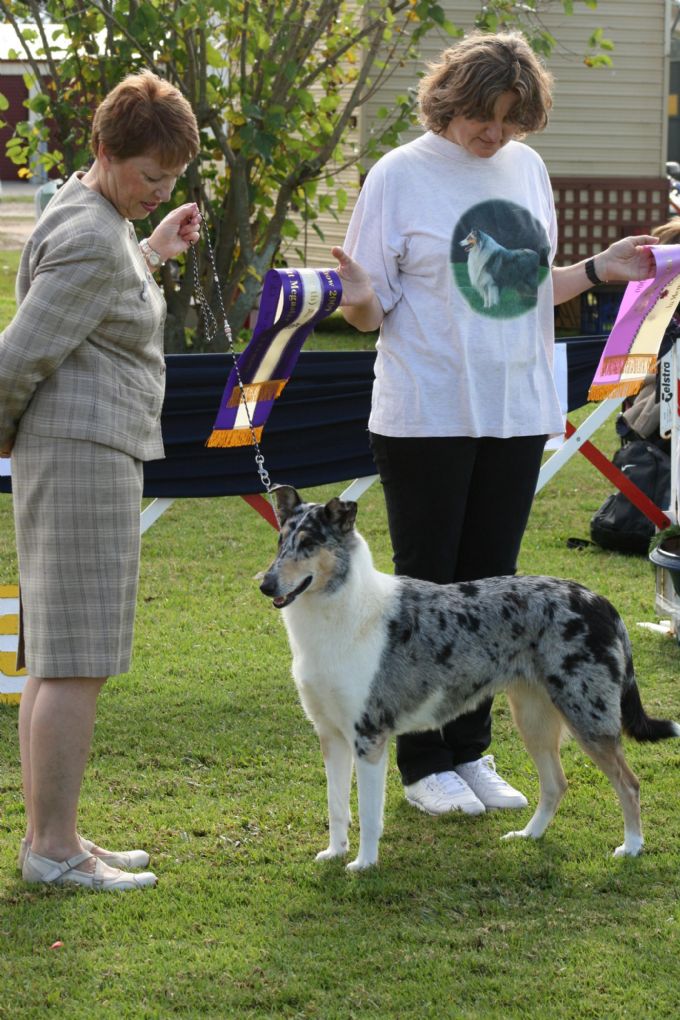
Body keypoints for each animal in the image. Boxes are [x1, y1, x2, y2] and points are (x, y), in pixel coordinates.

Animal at [260, 486, 680, 871]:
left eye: (309, 544)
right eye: (280, 542)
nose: (266, 584)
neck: (340, 613)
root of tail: (600, 602)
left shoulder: (369, 737)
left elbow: (367, 814)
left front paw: (363, 865)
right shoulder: (331, 735)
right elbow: (336, 807)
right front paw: (334, 853)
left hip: (587, 718)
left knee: (628, 784)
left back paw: (632, 847)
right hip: (534, 718)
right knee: (556, 783)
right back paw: (529, 835)